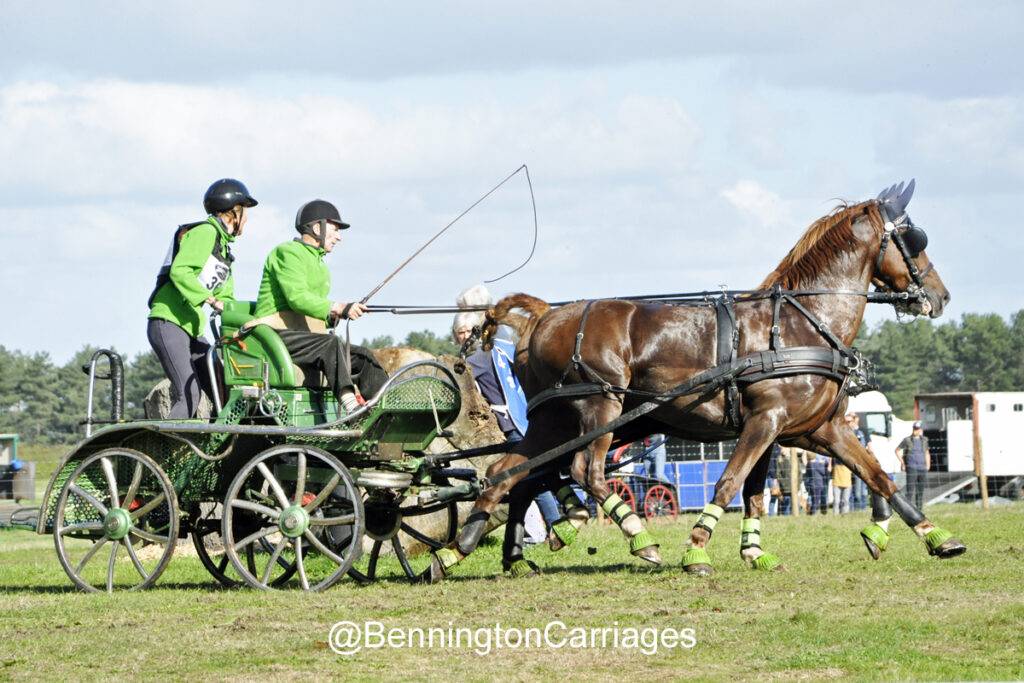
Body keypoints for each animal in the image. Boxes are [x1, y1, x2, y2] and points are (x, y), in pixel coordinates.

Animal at [427, 180, 966, 581]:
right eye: (914, 240)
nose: (941, 296)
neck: (801, 323)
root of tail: (544, 315)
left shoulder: (810, 429)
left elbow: (870, 474)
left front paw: (932, 536)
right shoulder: (767, 421)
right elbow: (729, 483)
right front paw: (697, 549)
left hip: (556, 420)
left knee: (513, 471)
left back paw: (468, 551)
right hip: (600, 409)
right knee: (584, 472)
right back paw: (640, 540)